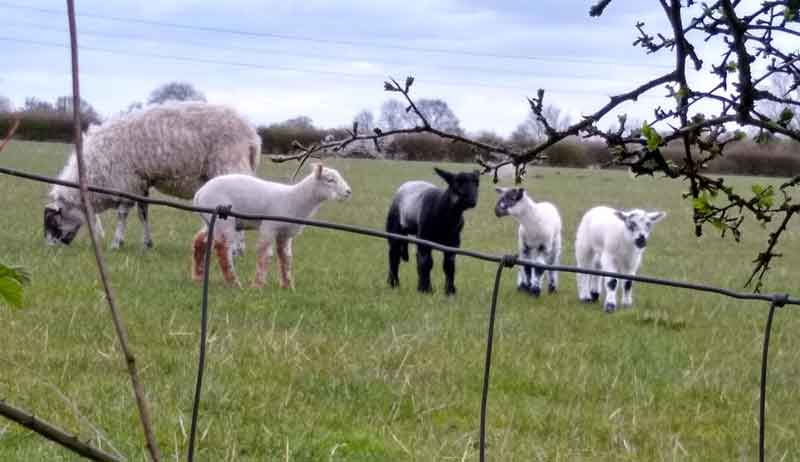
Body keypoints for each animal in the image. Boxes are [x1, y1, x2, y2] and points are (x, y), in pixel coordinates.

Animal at [44, 102, 261, 250]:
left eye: (52, 221)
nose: (50, 248)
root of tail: (252, 135)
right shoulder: (141, 182)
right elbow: (143, 212)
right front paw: (147, 244)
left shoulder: (127, 182)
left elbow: (122, 214)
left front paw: (116, 243)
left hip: (229, 167)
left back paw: (237, 249)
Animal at [191, 163, 352, 288]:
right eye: (330, 180)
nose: (348, 192)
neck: (295, 199)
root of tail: (200, 193)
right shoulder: (269, 226)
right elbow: (264, 253)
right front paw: (257, 286)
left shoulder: (285, 233)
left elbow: (286, 257)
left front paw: (288, 286)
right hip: (224, 220)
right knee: (223, 248)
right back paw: (234, 283)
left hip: (210, 220)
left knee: (200, 241)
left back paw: (198, 278)